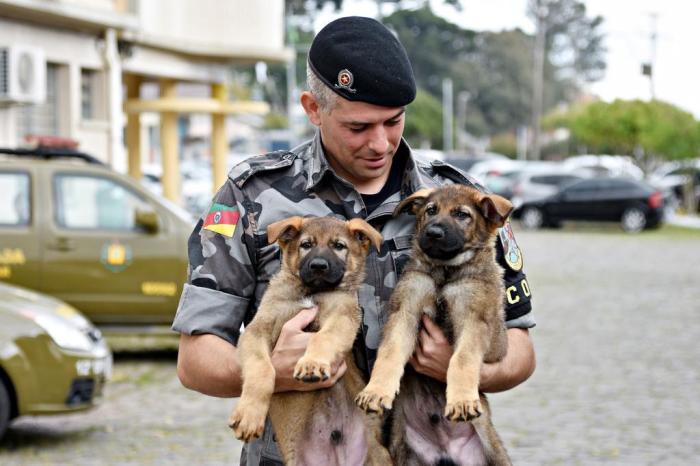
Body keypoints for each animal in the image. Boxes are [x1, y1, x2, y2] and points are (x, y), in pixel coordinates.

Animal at [230, 216, 394, 466]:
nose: (318, 266)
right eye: (306, 245)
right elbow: (261, 369)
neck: (311, 292)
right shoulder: (257, 330)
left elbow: (322, 338)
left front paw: (312, 364)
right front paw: (249, 415)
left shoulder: (342, 316)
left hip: (379, 456)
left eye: (339, 246)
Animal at [356, 186, 516, 466]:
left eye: (462, 215)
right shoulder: (406, 311)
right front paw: (376, 391)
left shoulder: (473, 321)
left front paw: (461, 400)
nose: (433, 233)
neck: (445, 272)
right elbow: (390, 354)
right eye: (431, 210)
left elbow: (462, 360)